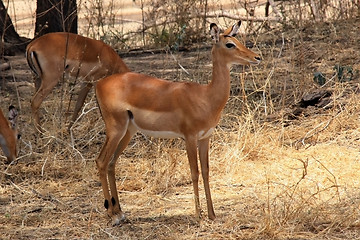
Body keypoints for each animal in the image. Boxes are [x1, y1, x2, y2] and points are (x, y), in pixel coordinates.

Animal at [94, 21, 260, 225]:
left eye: (238, 40)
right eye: (230, 44)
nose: (256, 57)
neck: (205, 97)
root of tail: (99, 84)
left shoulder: (205, 138)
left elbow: (206, 171)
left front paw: (212, 214)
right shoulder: (189, 137)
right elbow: (194, 172)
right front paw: (198, 215)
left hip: (128, 131)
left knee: (111, 163)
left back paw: (120, 212)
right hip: (115, 129)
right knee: (101, 161)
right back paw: (112, 215)